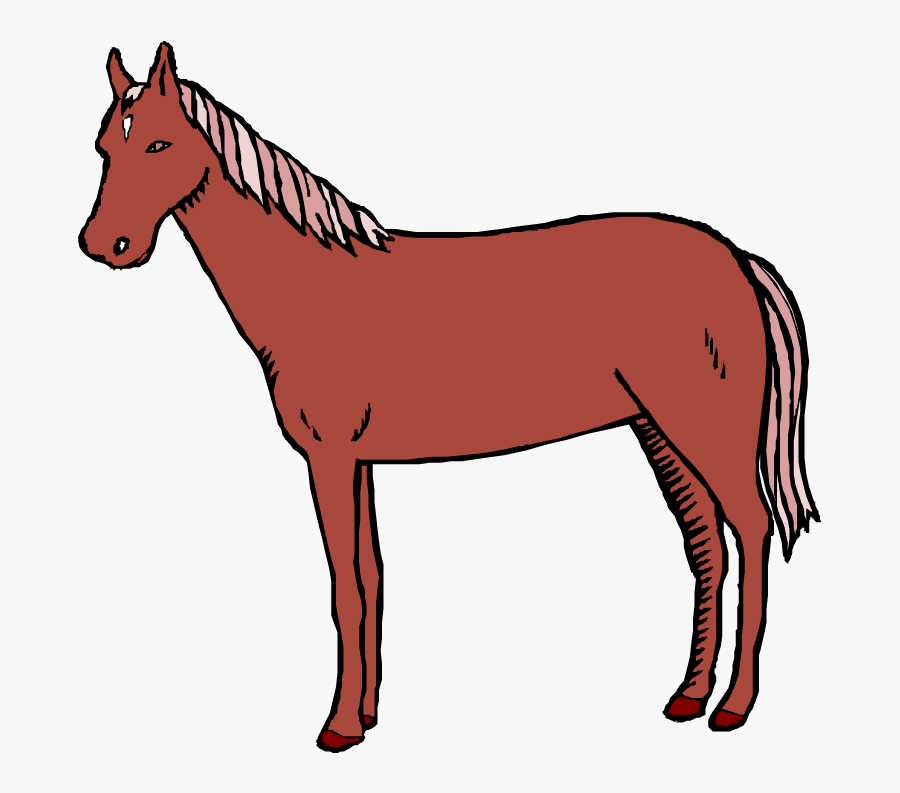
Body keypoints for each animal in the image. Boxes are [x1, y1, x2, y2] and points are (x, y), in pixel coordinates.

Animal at [79, 42, 818, 752]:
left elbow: (346, 591)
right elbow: (372, 579)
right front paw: (366, 714)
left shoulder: (329, 460)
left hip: (705, 430)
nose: (104, 245)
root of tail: (735, 258)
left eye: (158, 145)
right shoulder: (357, 463)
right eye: (104, 146)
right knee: (707, 546)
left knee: (750, 532)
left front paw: (338, 728)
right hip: (660, 432)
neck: (313, 288)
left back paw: (734, 707)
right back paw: (688, 696)